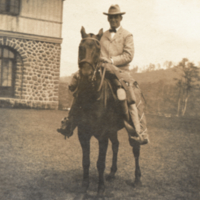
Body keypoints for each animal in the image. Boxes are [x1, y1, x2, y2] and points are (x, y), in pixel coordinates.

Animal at [65, 26, 141, 195]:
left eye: (98, 49)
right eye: (81, 47)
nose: (86, 75)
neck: (92, 99)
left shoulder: (102, 136)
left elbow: (100, 162)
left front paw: (100, 188)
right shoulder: (83, 134)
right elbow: (86, 161)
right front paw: (85, 186)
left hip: (132, 128)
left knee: (136, 149)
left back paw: (137, 179)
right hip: (113, 131)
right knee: (116, 145)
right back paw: (112, 173)